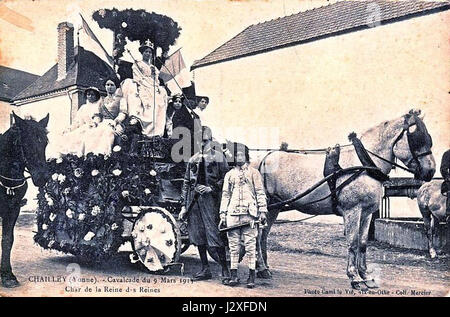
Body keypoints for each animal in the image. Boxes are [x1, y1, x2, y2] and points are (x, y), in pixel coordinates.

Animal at [0, 112, 49, 288]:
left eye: (45, 142)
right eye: (26, 141)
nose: (42, 177)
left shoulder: (13, 209)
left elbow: (7, 240)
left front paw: (7, 275)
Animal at [256, 109, 436, 288]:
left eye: (428, 137)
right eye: (416, 137)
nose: (431, 171)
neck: (364, 165)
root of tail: (261, 159)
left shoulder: (366, 213)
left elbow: (362, 243)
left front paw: (365, 275)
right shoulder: (352, 211)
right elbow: (352, 242)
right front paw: (354, 277)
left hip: (274, 207)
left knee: (263, 235)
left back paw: (264, 268)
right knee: (258, 235)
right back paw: (261, 267)